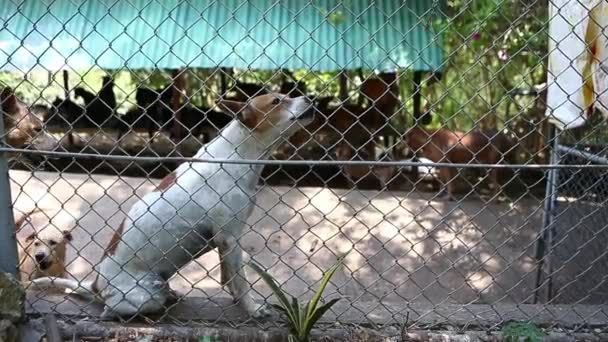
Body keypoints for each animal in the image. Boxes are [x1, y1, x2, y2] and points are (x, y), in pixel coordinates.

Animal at [32, 93, 314, 318]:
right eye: (277, 101)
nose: (310, 97)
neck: (237, 154)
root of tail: (97, 285)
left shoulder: (224, 243)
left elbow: (231, 279)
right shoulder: (230, 238)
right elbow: (241, 281)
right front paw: (253, 309)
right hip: (146, 294)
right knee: (110, 310)